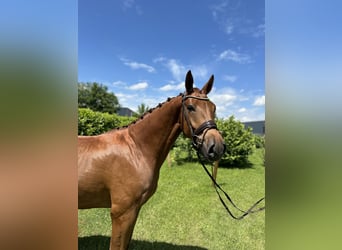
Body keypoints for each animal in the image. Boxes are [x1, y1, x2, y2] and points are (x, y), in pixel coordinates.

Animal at [79, 71, 226, 250]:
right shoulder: (121, 213)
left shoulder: (133, 212)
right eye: (190, 107)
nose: (217, 147)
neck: (136, 149)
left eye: (214, 108)